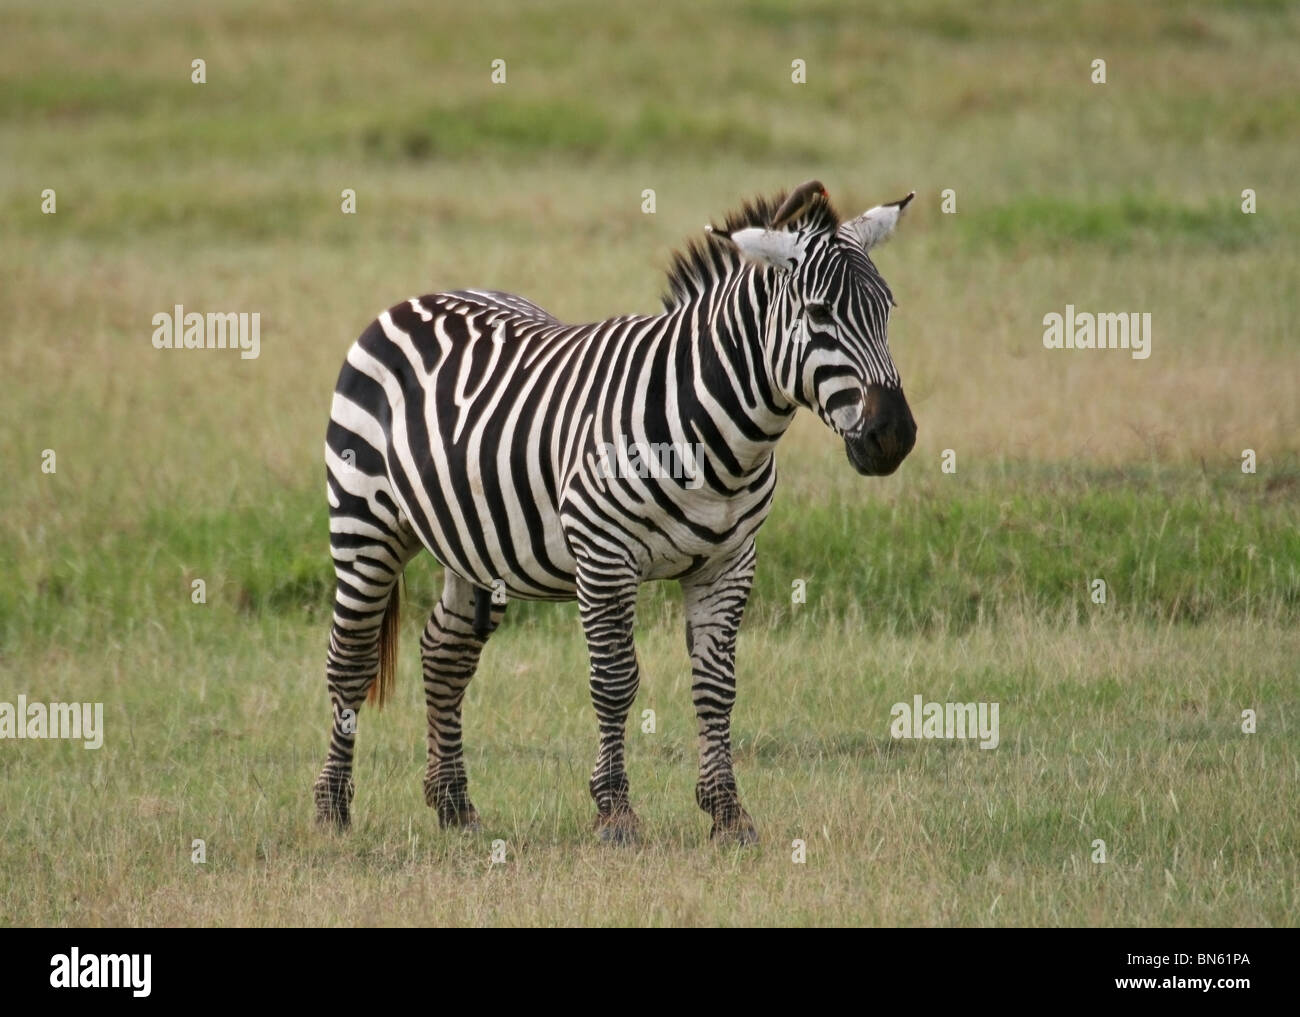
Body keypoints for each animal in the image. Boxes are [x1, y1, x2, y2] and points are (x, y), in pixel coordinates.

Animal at [313, 180, 915, 842]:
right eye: (820, 313)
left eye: (888, 310)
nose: (894, 436)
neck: (718, 436)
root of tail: (418, 298)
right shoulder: (604, 557)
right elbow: (615, 681)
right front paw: (615, 813)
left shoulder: (728, 563)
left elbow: (717, 687)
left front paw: (728, 813)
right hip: (364, 524)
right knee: (351, 658)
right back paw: (332, 810)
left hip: (472, 547)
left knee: (445, 655)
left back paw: (454, 806)